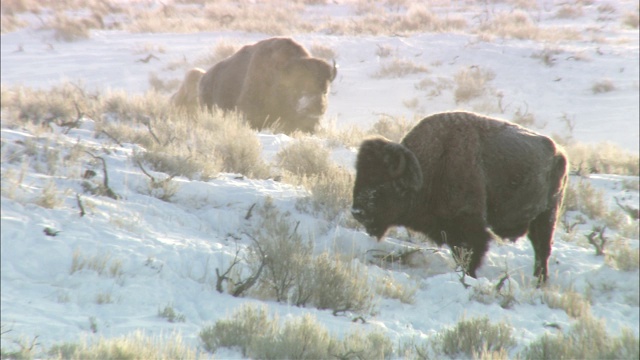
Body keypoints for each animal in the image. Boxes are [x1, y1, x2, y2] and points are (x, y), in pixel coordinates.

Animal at [352, 112, 568, 284]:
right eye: (359, 176)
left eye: (381, 184)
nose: (357, 212)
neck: (431, 165)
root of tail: (560, 153)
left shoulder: (469, 229)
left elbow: (469, 256)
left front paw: (468, 278)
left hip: (547, 216)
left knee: (542, 249)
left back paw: (540, 282)